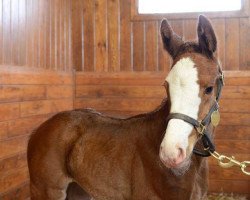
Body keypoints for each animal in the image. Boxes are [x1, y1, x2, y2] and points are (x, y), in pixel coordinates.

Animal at [27, 14, 222, 199]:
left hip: (77, 191)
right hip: (46, 191)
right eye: (166, 86)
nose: (171, 153)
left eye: (209, 88)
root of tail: (38, 130)